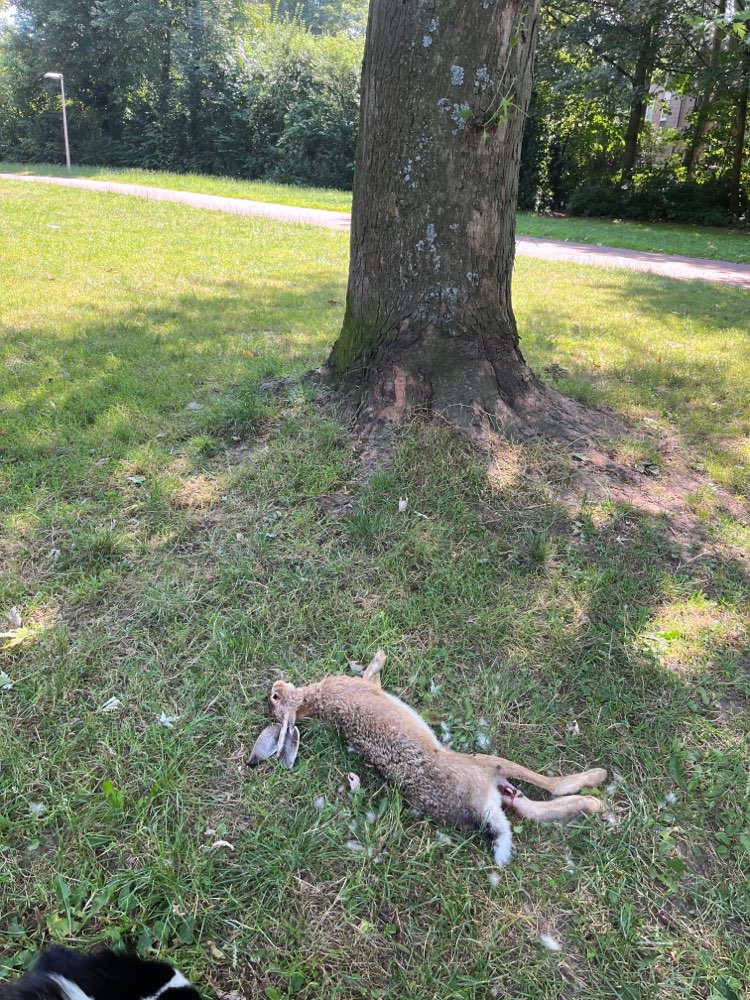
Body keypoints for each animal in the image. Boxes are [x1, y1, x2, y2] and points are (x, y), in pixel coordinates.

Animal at [250, 651, 607, 866]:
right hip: (485, 764)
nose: (276, 685)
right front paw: (381, 655)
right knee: (550, 789)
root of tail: (479, 813)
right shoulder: (366, 686)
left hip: (499, 787)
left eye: (273, 697)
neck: (315, 701)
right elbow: (372, 676)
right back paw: (597, 785)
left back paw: (594, 802)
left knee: (533, 808)